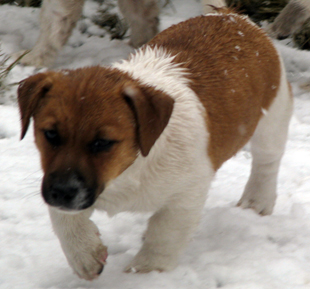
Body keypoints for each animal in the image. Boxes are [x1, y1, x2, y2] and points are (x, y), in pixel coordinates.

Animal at [17, 10, 294, 280]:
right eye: (50, 134)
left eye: (103, 142)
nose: (62, 192)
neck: (127, 170)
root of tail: (233, 16)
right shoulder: (59, 183)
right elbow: (64, 220)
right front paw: (84, 254)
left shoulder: (186, 196)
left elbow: (164, 235)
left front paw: (146, 273)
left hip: (272, 118)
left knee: (267, 161)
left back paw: (257, 201)